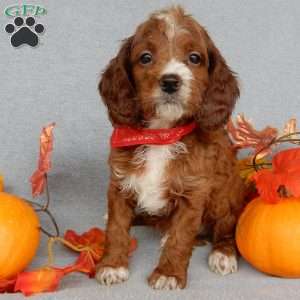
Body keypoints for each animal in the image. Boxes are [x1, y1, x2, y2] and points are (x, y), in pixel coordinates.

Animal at [96, 5, 246, 290]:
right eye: (145, 57)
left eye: (194, 58)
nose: (170, 81)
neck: (161, 134)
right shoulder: (119, 183)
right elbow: (118, 227)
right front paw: (112, 265)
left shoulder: (193, 192)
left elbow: (181, 236)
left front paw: (168, 273)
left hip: (224, 196)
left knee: (226, 226)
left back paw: (223, 254)